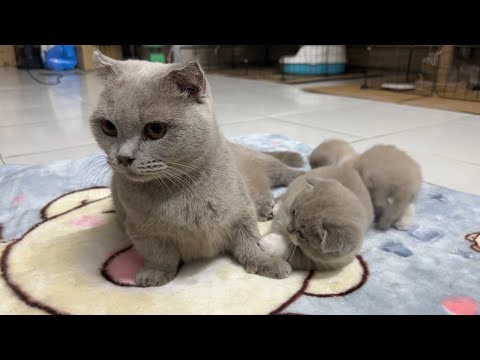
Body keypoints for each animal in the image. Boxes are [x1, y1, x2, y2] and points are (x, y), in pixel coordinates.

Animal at [89, 51, 300, 286]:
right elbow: (158, 253)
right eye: (108, 127)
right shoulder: (141, 230)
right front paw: (155, 273)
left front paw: (266, 261)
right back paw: (265, 208)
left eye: (155, 129)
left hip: (265, 163)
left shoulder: (241, 212)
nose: (123, 157)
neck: (179, 189)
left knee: (285, 171)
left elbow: (250, 241)